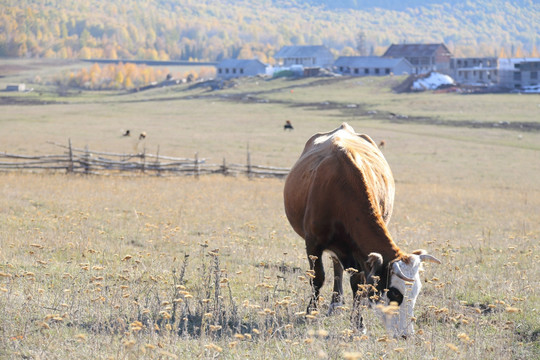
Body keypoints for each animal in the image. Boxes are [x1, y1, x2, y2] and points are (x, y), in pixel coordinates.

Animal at [282, 123, 438, 338]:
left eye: (416, 292)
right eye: (395, 293)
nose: (406, 334)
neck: (341, 191)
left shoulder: (359, 254)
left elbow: (359, 284)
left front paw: (358, 323)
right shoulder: (313, 243)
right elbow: (317, 278)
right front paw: (310, 313)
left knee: (337, 266)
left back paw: (336, 303)